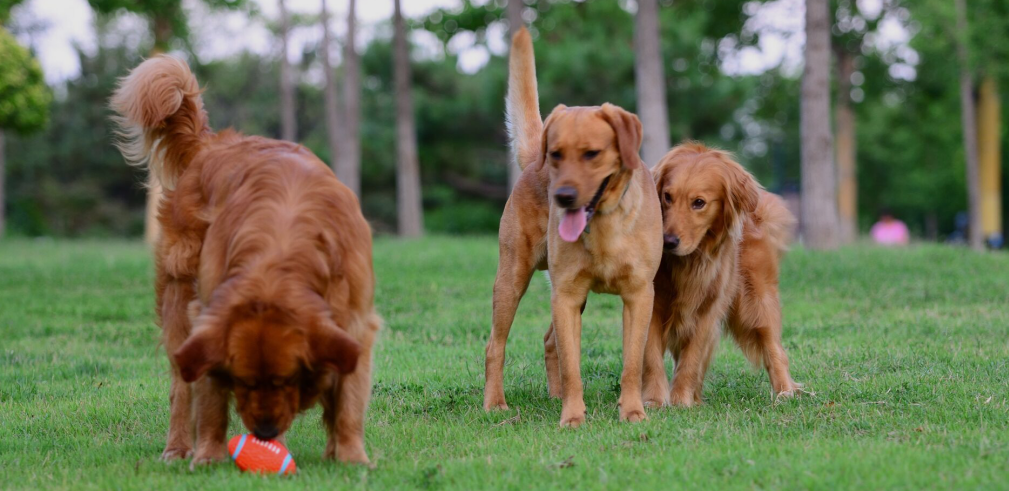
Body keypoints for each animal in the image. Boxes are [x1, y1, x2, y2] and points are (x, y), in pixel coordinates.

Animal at [109, 55, 379, 467]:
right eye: (243, 381)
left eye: (287, 380)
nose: (264, 433)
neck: (280, 255)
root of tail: (210, 143)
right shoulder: (208, 313)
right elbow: (209, 397)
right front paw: (208, 456)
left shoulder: (355, 319)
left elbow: (348, 397)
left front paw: (349, 457)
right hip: (177, 291)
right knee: (180, 385)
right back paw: (178, 447)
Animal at [482, 28, 661, 429]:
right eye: (557, 155)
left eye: (592, 154)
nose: (561, 197)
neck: (603, 226)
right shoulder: (566, 295)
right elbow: (573, 366)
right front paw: (573, 417)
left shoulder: (639, 295)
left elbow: (631, 363)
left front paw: (632, 411)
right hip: (511, 278)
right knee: (495, 345)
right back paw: (495, 403)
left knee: (549, 342)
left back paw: (554, 396)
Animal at [641, 142, 799, 407]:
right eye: (667, 197)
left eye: (699, 202)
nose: (668, 241)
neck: (689, 262)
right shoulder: (652, 304)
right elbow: (652, 355)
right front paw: (655, 400)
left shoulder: (708, 309)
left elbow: (692, 357)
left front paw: (681, 400)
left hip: (757, 302)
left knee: (774, 348)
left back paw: (785, 390)